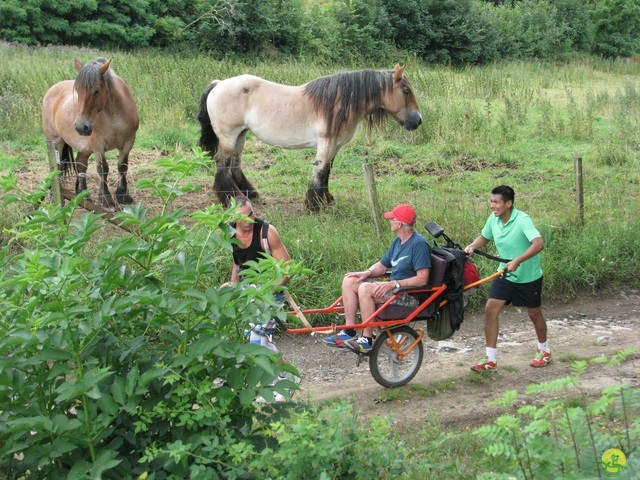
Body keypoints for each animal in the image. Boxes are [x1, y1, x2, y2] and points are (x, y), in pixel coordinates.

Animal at [42, 57, 139, 209]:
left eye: (96, 91)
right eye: (77, 90)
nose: (81, 127)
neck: (114, 116)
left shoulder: (128, 142)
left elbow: (123, 166)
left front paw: (123, 196)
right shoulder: (98, 145)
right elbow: (103, 169)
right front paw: (106, 199)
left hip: (84, 147)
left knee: (81, 165)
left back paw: (84, 195)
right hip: (56, 142)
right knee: (56, 168)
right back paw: (55, 197)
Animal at [198, 64, 422, 212]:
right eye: (406, 91)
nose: (418, 121)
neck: (338, 102)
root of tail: (218, 84)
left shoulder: (335, 146)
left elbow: (327, 172)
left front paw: (326, 199)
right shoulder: (326, 143)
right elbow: (320, 172)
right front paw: (314, 205)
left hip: (240, 135)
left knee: (235, 164)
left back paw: (248, 194)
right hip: (229, 136)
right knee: (223, 165)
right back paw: (230, 199)